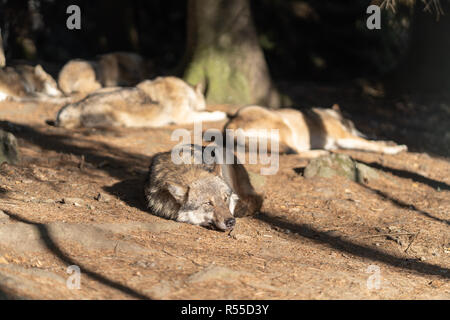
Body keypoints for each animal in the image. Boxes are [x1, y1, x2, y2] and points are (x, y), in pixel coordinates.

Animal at [225, 105, 408, 155]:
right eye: (354, 126)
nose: (365, 132)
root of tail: (231, 123)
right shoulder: (344, 137)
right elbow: (372, 145)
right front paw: (394, 149)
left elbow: (373, 143)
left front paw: (390, 143)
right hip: (285, 126)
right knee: (296, 151)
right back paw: (321, 153)